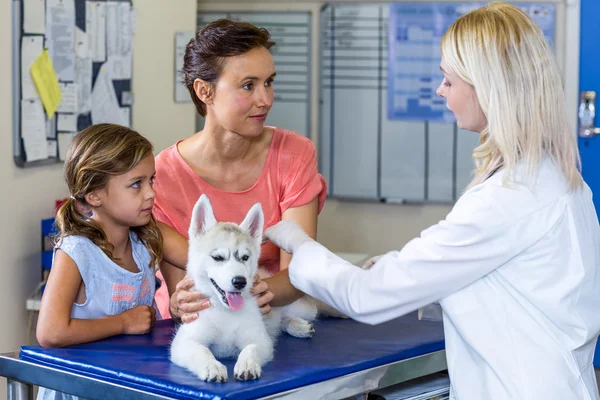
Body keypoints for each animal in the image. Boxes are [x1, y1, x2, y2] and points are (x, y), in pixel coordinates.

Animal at [170, 195, 316, 382]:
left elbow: (251, 348)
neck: (225, 312)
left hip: (303, 308)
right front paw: (212, 366)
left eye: (245, 257)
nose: (240, 282)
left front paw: (247, 365)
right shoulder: (184, 342)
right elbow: (201, 351)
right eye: (218, 257)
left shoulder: (260, 340)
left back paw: (299, 325)